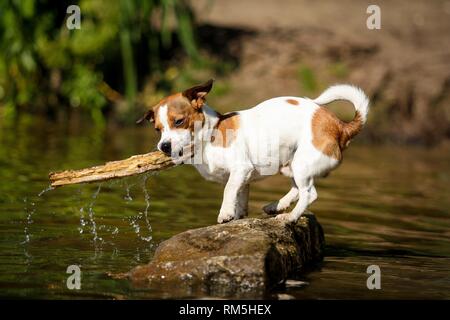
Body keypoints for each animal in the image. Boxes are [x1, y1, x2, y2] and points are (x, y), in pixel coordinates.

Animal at [137, 79, 370, 224]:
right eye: (157, 129)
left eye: (178, 121)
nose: (164, 146)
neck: (211, 135)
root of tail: (341, 126)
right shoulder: (244, 179)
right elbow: (240, 196)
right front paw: (237, 215)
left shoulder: (240, 170)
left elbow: (229, 190)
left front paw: (225, 213)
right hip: (291, 164)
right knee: (297, 189)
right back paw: (277, 206)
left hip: (302, 163)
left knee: (309, 193)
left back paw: (291, 217)